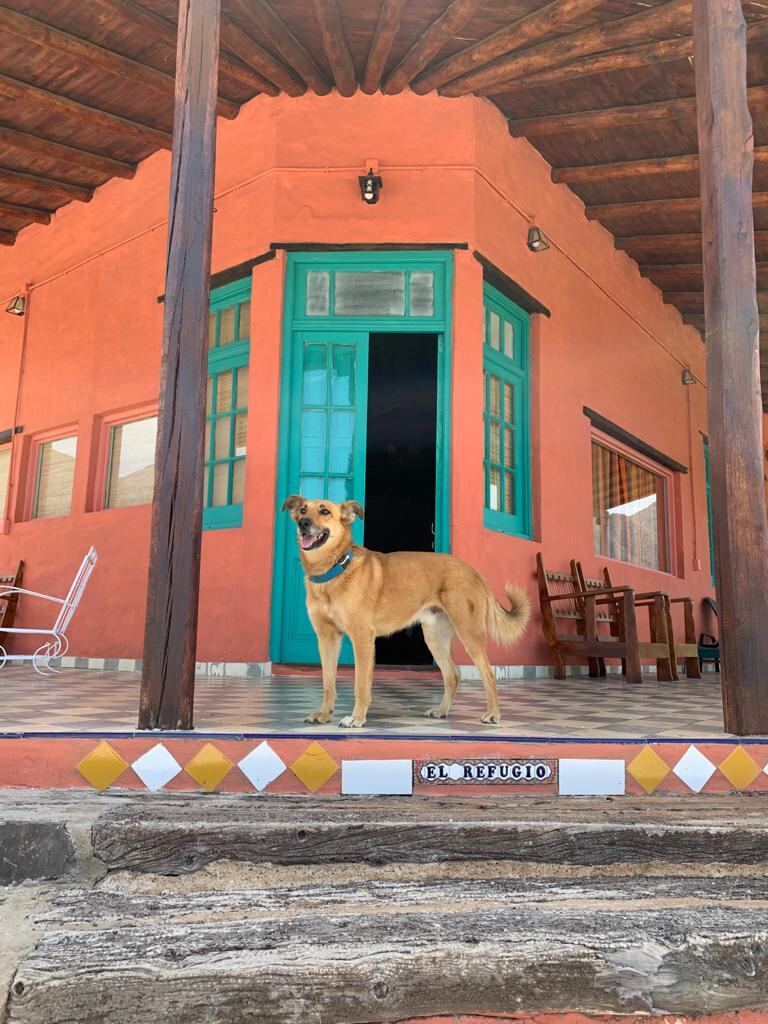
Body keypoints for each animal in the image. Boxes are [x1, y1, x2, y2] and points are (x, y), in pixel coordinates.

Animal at [280, 497, 528, 729]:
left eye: (324, 511)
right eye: (303, 510)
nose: (303, 523)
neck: (334, 570)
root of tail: (475, 572)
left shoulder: (362, 639)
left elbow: (360, 684)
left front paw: (357, 718)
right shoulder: (327, 638)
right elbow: (328, 682)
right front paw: (324, 714)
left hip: (469, 634)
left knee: (489, 674)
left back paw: (493, 714)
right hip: (435, 638)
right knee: (452, 675)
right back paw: (442, 710)